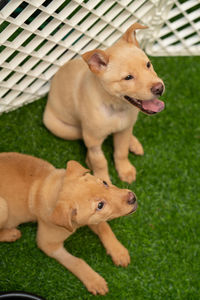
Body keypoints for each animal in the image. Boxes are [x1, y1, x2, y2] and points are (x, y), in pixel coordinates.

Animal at [0, 152, 138, 296]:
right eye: (100, 205)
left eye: (105, 183)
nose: (132, 197)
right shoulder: (47, 244)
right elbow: (76, 262)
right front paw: (94, 281)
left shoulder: (91, 219)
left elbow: (104, 227)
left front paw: (119, 252)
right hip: (3, 207)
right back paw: (10, 234)